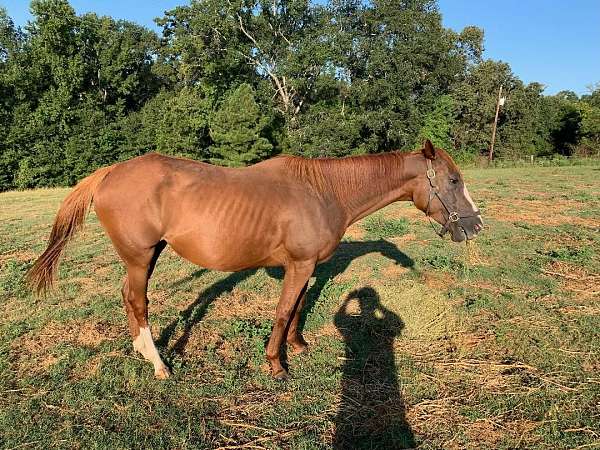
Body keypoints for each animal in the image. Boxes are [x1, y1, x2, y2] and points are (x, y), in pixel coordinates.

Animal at [28, 141, 482, 380]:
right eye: (453, 180)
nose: (475, 225)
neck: (325, 191)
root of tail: (108, 173)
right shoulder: (298, 265)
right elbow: (282, 311)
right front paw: (275, 364)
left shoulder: (306, 267)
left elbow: (298, 308)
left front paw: (297, 346)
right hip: (140, 258)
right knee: (138, 302)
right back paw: (159, 365)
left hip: (148, 255)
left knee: (128, 298)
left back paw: (142, 352)